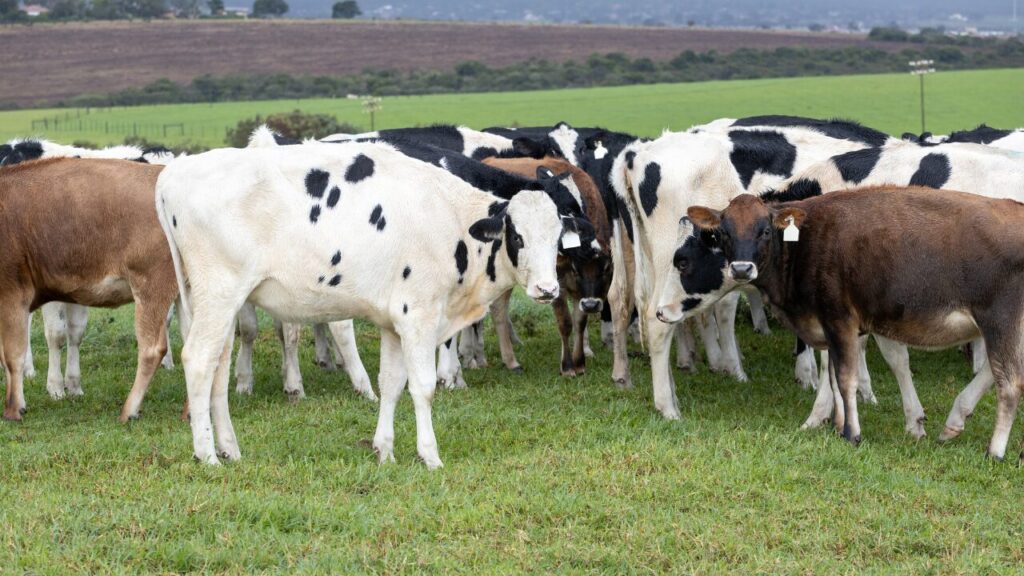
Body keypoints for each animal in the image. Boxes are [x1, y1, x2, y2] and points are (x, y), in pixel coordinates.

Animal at [0, 156, 178, 422]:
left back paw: (129, 410)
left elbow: (13, 356)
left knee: (152, 349)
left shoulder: (12, 292)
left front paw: (14, 409)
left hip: (151, 284)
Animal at [483, 154, 610, 375]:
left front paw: (582, 357)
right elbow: (566, 321)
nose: (594, 246)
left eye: (605, 269)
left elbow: (580, 319)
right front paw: (567, 367)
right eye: (567, 209)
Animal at [684, 187, 1024, 457]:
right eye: (723, 233)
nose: (741, 269)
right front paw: (836, 425)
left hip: (1000, 320)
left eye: (765, 230)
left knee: (1009, 383)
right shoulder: (831, 325)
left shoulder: (839, 318)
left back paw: (995, 451)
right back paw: (955, 422)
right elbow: (834, 375)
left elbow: (846, 377)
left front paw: (852, 433)